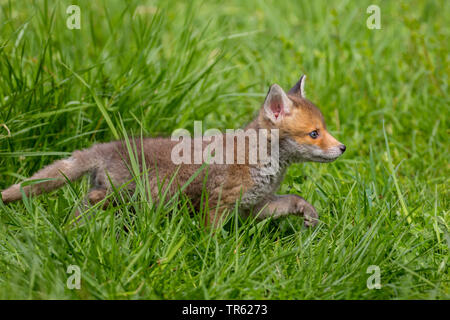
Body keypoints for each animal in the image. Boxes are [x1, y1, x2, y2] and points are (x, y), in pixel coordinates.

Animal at [0, 75, 344, 226]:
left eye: (323, 129)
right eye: (314, 134)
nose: (342, 148)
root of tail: (106, 146)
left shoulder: (254, 205)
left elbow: (295, 199)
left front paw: (310, 216)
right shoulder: (217, 203)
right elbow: (213, 239)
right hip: (124, 193)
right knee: (92, 199)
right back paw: (73, 226)